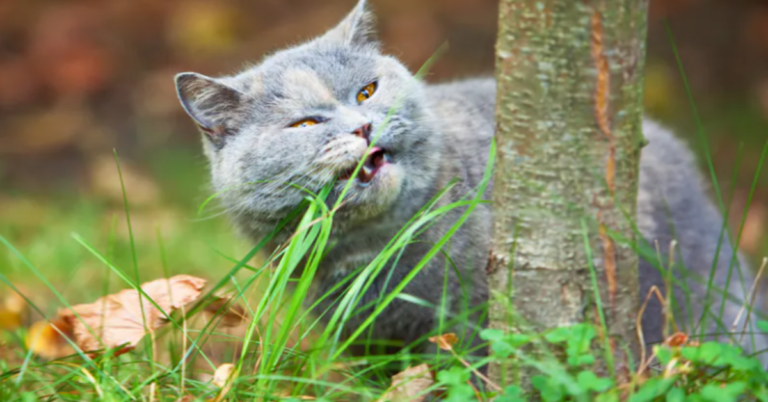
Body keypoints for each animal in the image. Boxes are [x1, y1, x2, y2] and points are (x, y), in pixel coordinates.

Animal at [176, 0, 768, 362]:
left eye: (367, 91)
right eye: (304, 124)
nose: (362, 126)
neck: (375, 251)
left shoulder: (476, 322)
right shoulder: (364, 340)